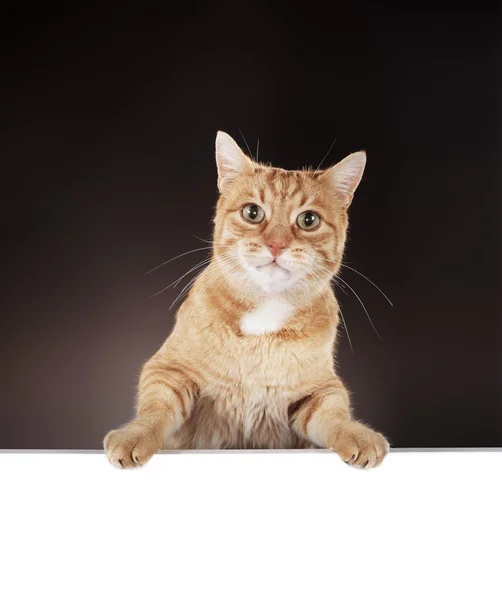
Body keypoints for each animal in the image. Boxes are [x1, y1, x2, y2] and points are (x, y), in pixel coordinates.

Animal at [104, 131, 390, 468]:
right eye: (252, 213)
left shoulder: (322, 390)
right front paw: (134, 435)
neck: (264, 316)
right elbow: (155, 410)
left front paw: (357, 434)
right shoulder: (168, 370)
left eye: (308, 220)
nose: (276, 244)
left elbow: (336, 416)